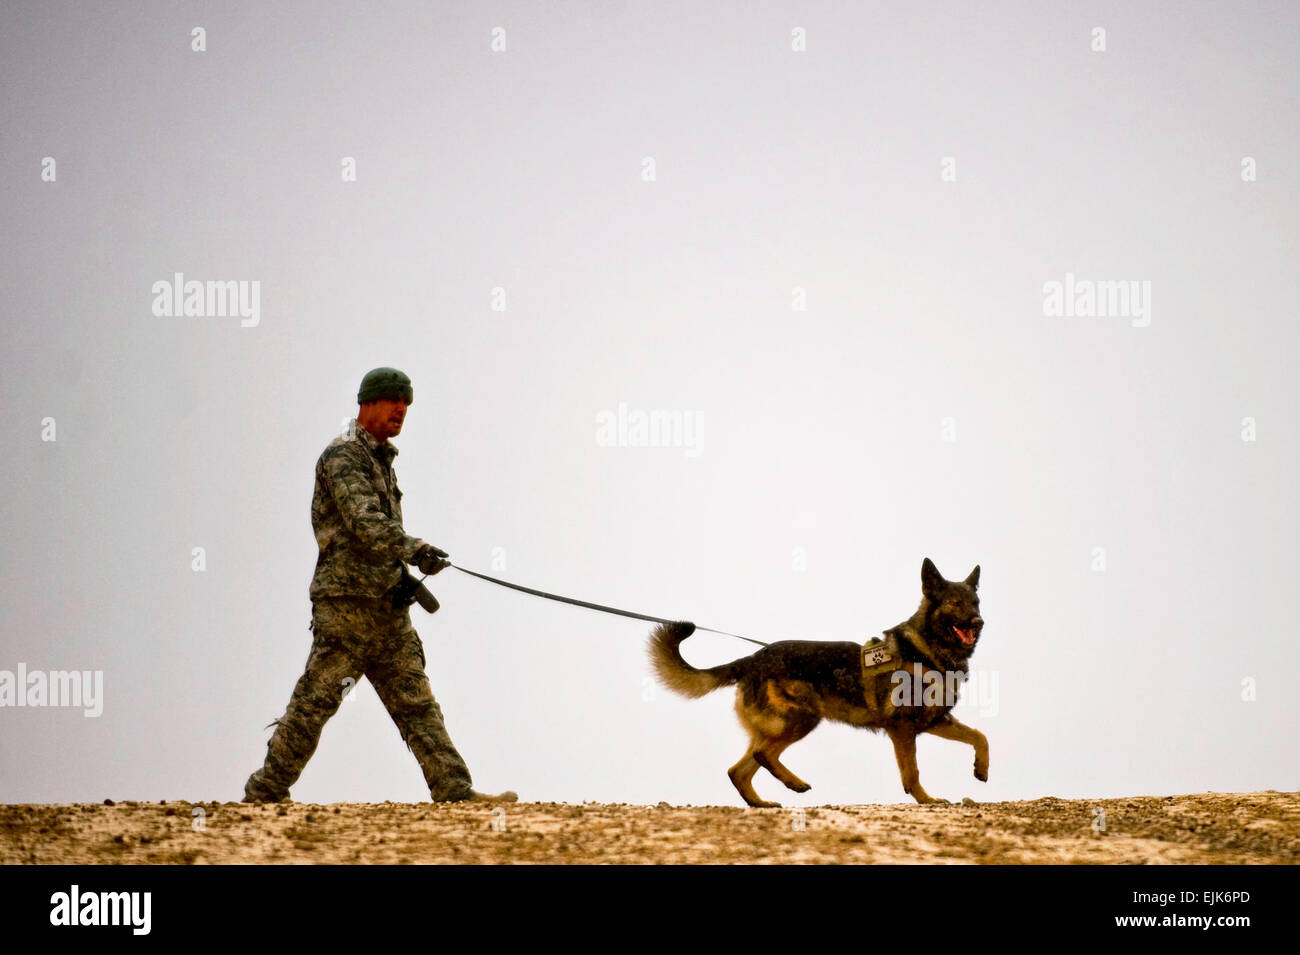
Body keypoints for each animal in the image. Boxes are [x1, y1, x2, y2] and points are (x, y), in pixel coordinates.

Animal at [650, 561, 982, 805]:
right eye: (954, 603)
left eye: (975, 603)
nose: (978, 623)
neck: (928, 650)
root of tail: (753, 658)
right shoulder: (902, 729)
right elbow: (912, 772)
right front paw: (927, 800)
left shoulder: (934, 722)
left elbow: (979, 736)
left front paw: (982, 769)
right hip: (802, 718)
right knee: (762, 755)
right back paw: (794, 783)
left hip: (778, 725)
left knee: (739, 770)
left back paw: (762, 803)